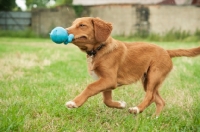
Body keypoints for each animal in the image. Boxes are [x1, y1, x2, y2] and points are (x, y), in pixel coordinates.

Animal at [65, 17, 199, 117]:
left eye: (82, 25)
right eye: (72, 24)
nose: (64, 31)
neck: (99, 49)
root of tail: (167, 51)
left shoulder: (109, 79)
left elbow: (90, 87)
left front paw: (74, 102)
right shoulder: (105, 81)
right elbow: (107, 101)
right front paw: (121, 104)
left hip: (154, 75)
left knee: (150, 96)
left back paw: (137, 109)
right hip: (148, 80)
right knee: (160, 101)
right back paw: (154, 118)